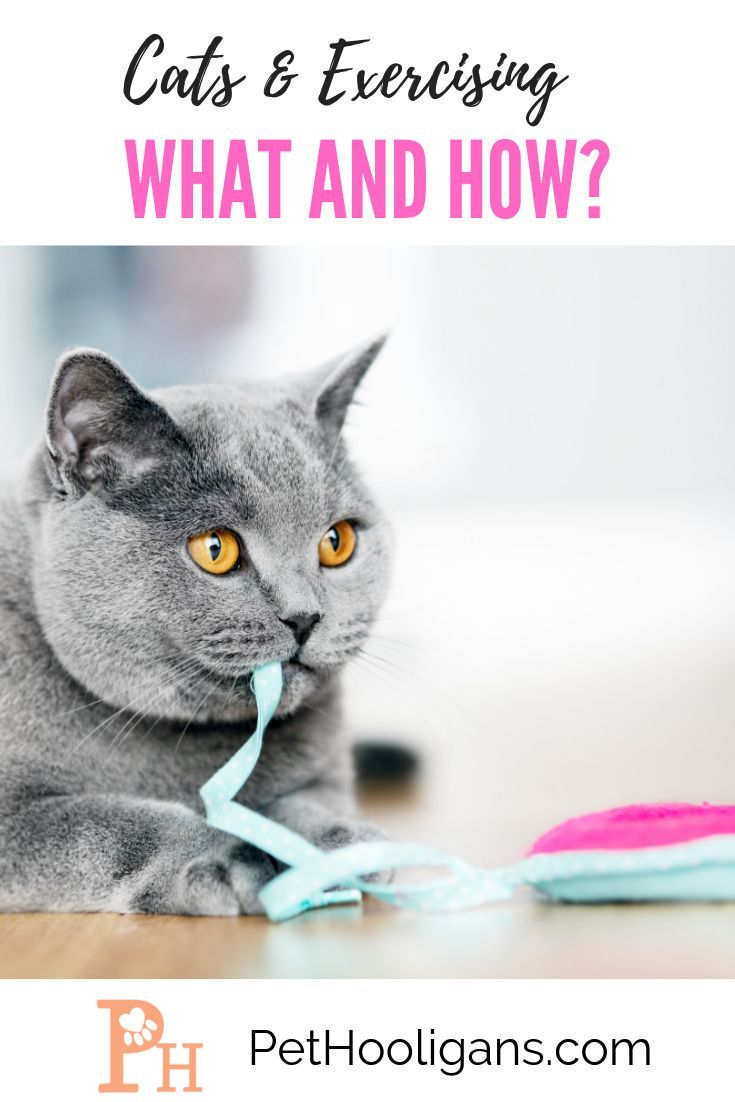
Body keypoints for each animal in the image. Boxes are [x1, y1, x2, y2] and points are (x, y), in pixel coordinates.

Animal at [0, 339, 390, 916]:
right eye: (215, 549)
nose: (305, 616)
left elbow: (304, 801)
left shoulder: (326, 773)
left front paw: (335, 843)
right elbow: (107, 823)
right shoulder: (21, 817)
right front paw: (228, 853)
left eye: (336, 542)